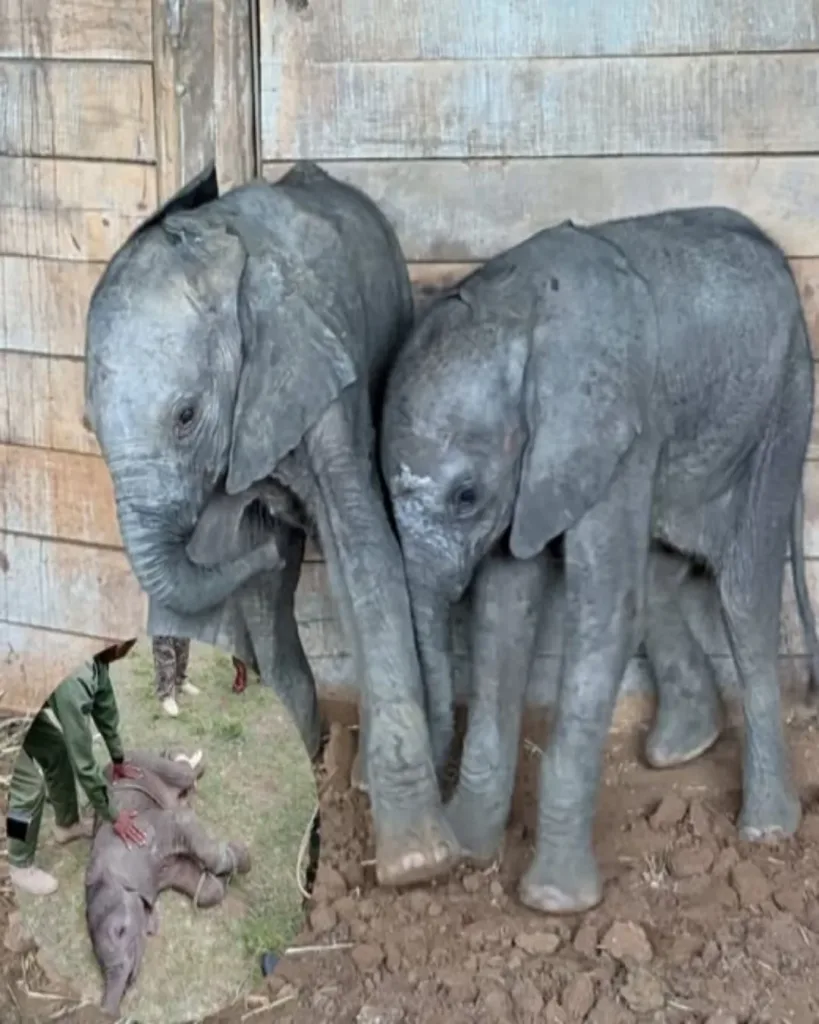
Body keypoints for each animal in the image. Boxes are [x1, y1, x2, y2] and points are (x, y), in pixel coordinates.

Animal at [83, 160, 457, 887]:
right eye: (89, 427)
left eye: (186, 416)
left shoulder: (314, 366)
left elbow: (362, 544)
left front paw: (417, 867)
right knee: (267, 598)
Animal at [85, 748, 251, 1015]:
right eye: (98, 961)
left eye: (121, 931)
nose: (107, 1011)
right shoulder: (160, 873)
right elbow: (203, 888)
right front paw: (222, 879)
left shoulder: (146, 835)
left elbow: (183, 821)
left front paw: (241, 858)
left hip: (143, 761)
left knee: (184, 773)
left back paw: (184, 757)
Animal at [380, 206, 819, 915]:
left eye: (466, 496)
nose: (430, 860)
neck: (515, 314)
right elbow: (505, 604)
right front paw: (472, 847)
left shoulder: (614, 427)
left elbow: (602, 606)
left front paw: (552, 902)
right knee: (660, 575)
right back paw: (680, 748)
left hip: (785, 402)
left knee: (742, 595)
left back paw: (766, 829)